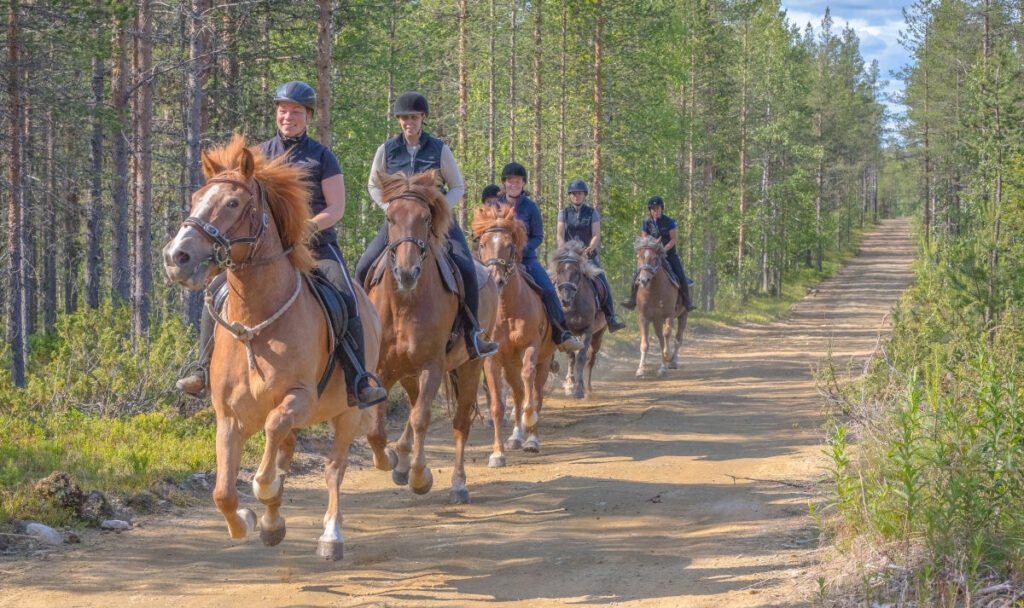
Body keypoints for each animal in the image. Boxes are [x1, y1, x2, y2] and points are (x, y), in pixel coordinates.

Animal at [162, 135, 377, 561]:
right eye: (196, 198)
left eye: (232, 203)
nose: (176, 257)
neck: (255, 328)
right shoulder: (229, 416)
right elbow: (223, 492)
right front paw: (247, 521)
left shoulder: (300, 398)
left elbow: (270, 454)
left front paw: (265, 491)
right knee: (288, 450)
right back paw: (273, 524)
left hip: (347, 411)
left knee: (333, 467)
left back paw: (330, 536)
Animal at [365, 170, 498, 504]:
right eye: (389, 217)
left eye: (425, 218)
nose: (406, 272)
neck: (405, 304)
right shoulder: (383, 369)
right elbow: (376, 430)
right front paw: (391, 459)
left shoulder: (432, 366)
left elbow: (421, 418)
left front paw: (419, 476)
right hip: (409, 372)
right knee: (414, 407)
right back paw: (401, 459)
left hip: (470, 366)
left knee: (459, 423)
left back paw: (458, 484)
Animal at [472, 204, 556, 467]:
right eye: (482, 244)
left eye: (510, 246)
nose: (497, 280)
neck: (507, 310)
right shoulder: (493, 359)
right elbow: (498, 406)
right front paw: (497, 453)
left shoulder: (531, 347)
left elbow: (530, 389)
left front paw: (530, 422)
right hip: (509, 366)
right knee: (518, 393)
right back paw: (516, 437)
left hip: (544, 360)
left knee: (534, 392)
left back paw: (531, 439)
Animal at [549, 240, 607, 399]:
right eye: (559, 271)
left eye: (576, 272)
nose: (565, 299)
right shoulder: (567, 331)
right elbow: (571, 356)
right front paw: (570, 384)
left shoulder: (587, 330)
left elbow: (581, 358)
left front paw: (579, 389)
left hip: (598, 335)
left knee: (590, 358)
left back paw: (588, 387)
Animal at [633, 235, 689, 378]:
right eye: (639, 257)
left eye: (654, 258)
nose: (644, 280)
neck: (653, 291)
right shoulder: (643, 317)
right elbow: (645, 344)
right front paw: (641, 369)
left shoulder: (669, 315)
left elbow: (667, 334)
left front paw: (668, 357)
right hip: (657, 321)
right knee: (661, 340)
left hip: (683, 315)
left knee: (677, 338)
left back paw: (672, 362)